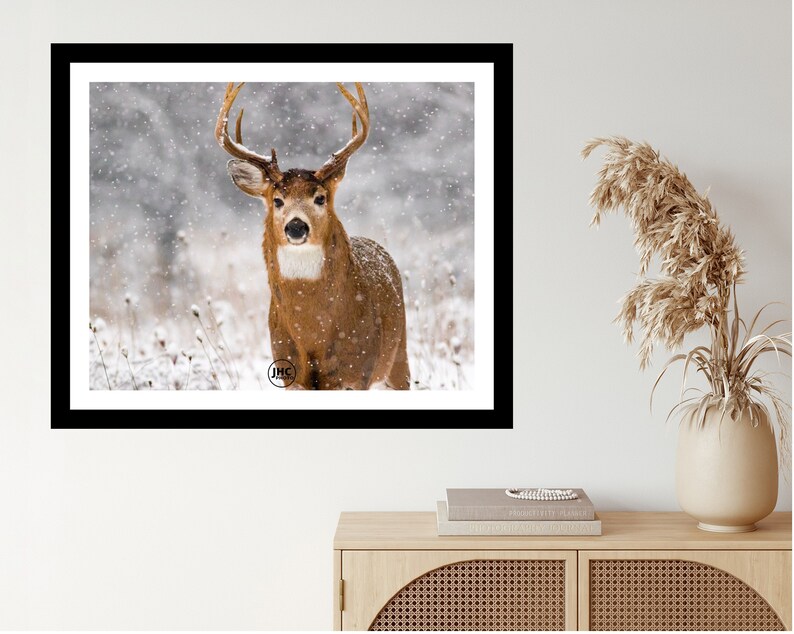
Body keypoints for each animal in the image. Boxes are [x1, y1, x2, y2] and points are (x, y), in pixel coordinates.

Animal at [215, 82, 410, 390]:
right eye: (278, 200)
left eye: (320, 198)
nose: (296, 226)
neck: (312, 332)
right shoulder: (288, 371)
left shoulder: (357, 372)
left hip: (398, 357)